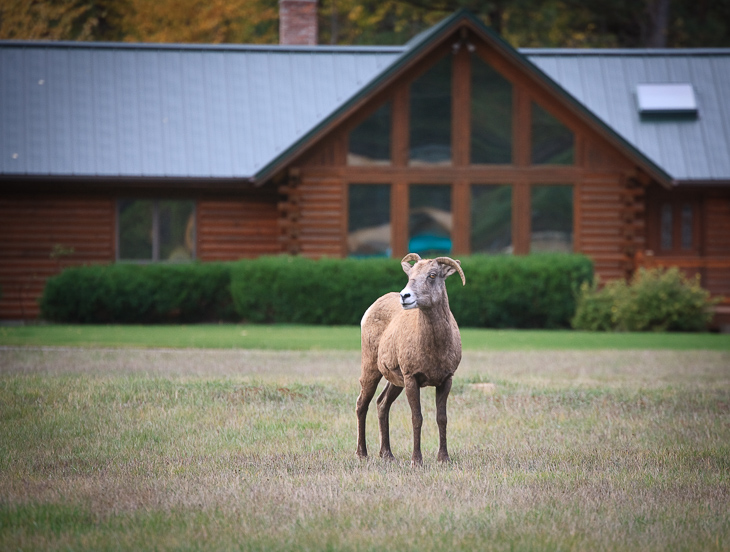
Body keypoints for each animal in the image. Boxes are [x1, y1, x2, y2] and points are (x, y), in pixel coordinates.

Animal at [354, 253, 466, 466]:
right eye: (410, 275)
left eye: (432, 275)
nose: (404, 296)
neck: (433, 347)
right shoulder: (412, 378)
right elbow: (417, 418)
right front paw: (417, 461)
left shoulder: (446, 380)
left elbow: (442, 418)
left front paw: (444, 459)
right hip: (371, 369)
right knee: (362, 404)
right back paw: (362, 454)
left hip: (395, 382)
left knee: (382, 404)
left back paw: (387, 454)